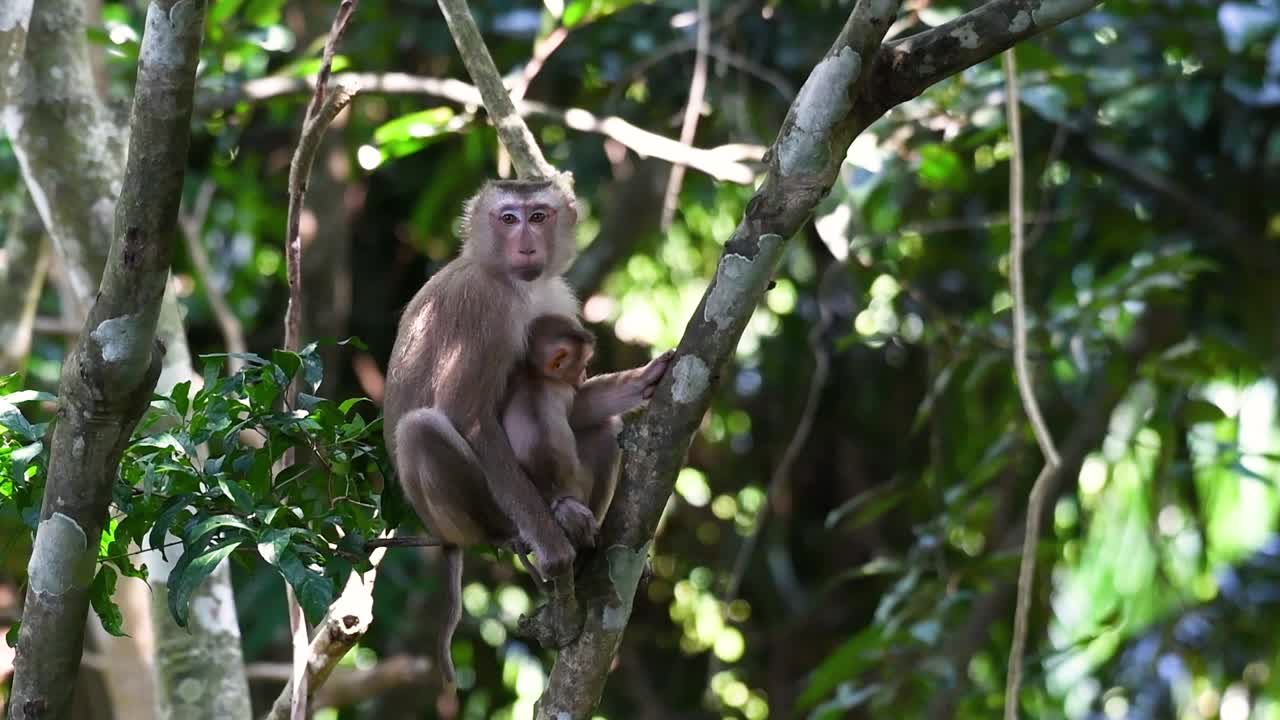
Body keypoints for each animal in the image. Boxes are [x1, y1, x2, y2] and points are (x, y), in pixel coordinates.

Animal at [382, 178, 674, 686]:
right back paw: (520, 534)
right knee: (421, 428)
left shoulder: (557, 296)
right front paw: (553, 549)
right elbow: (468, 414)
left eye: (538, 216)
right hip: (467, 514)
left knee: (600, 428)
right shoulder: (484, 309)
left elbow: (575, 404)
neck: (515, 282)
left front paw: (642, 380)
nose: (525, 244)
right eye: (508, 218)